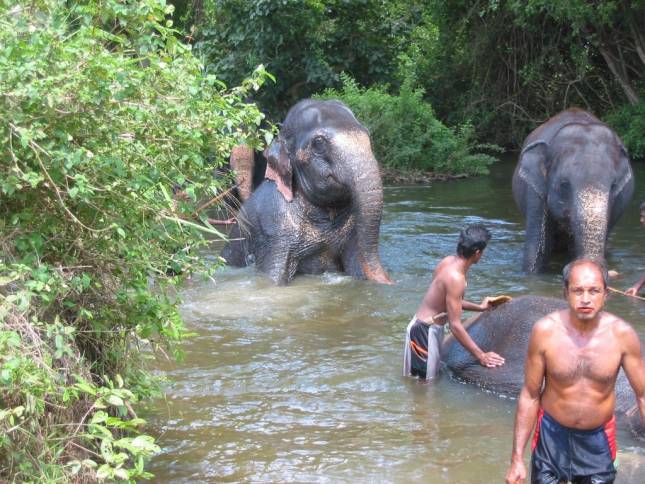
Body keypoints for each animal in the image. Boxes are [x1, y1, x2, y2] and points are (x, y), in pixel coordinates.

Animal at [221, 99, 392, 286]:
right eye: (319, 143)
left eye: (368, 136)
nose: (391, 282)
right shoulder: (273, 232)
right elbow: (272, 277)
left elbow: (358, 266)